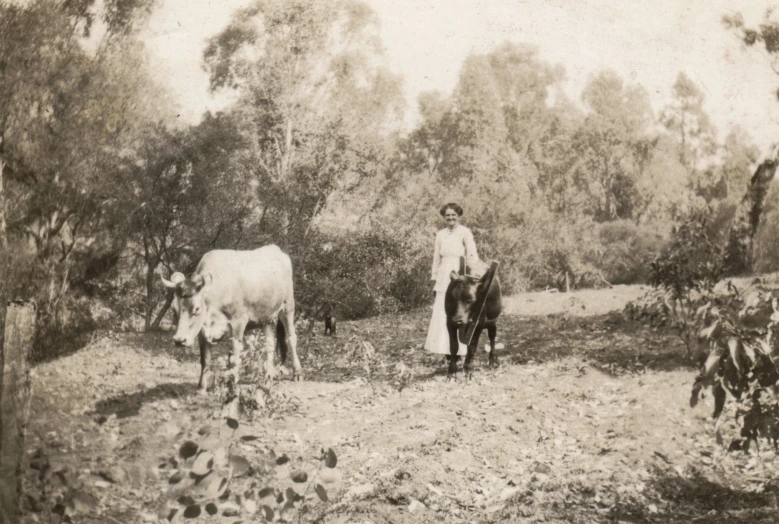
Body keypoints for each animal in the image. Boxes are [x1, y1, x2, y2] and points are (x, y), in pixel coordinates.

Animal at [161, 247, 302, 392]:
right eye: (174, 308)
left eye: (197, 308)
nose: (179, 340)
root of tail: (275, 249)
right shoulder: (202, 330)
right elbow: (205, 359)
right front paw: (201, 388)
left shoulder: (238, 322)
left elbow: (234, 356)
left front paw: (232, 384)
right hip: (266, 316)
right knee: (269, 343)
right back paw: (268, 375)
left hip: (288, 306)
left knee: (291, 338)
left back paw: (297, 373)